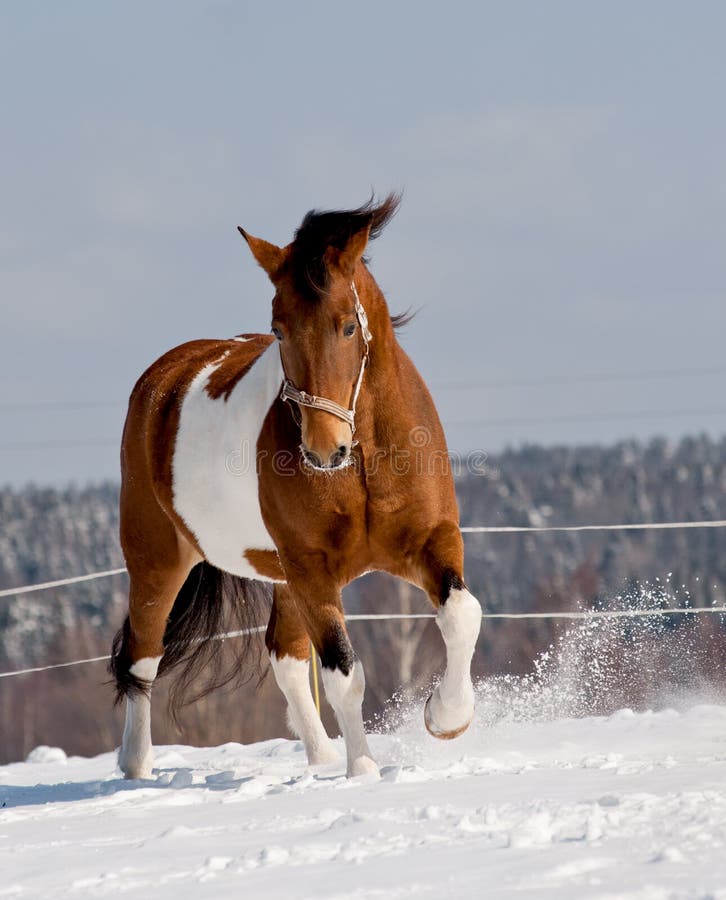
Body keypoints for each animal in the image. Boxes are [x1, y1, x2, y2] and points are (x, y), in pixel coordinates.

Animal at [111, 197, 484, 780]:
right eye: (279, 329)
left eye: (349, 327)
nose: (323, 449)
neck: (363, 463)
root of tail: (161, 380)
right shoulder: (312, 569)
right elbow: (342, 673)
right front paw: (364, 772)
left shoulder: (431, 541)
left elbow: (462, 615)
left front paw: (445, 719)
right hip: (158, 560)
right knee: (142, 659)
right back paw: (137, 766)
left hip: (279, 575)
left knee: (282, 655)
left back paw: (321, 757)